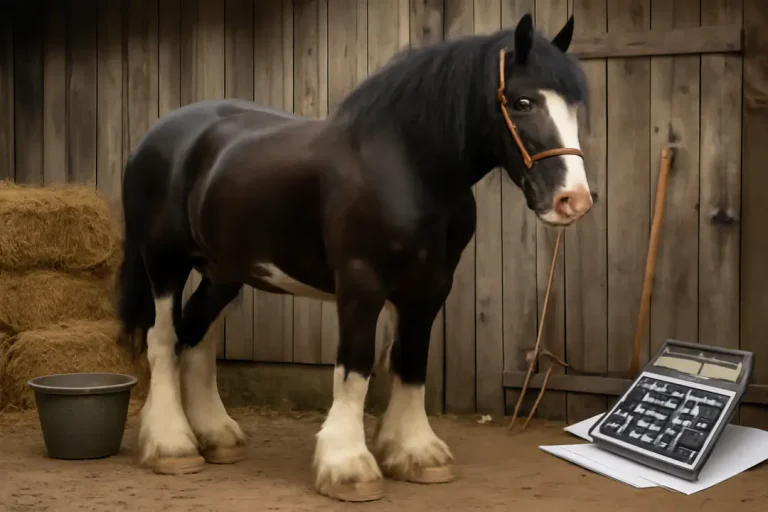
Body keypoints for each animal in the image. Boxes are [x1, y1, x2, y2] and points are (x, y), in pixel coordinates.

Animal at [116, 12, 592, 502]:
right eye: (522, 102)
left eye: (575, 107)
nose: (572, 200)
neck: (405, 166)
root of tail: (156, 137)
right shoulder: (362, 283)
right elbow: (356, 366)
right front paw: (347, 465)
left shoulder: (430, 286)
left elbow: (411, 361)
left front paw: (414, 452)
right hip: (164, 262)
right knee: (163, 339)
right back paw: (171, 445)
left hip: (223, 271)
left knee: (195, 335)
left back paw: (216, 436)